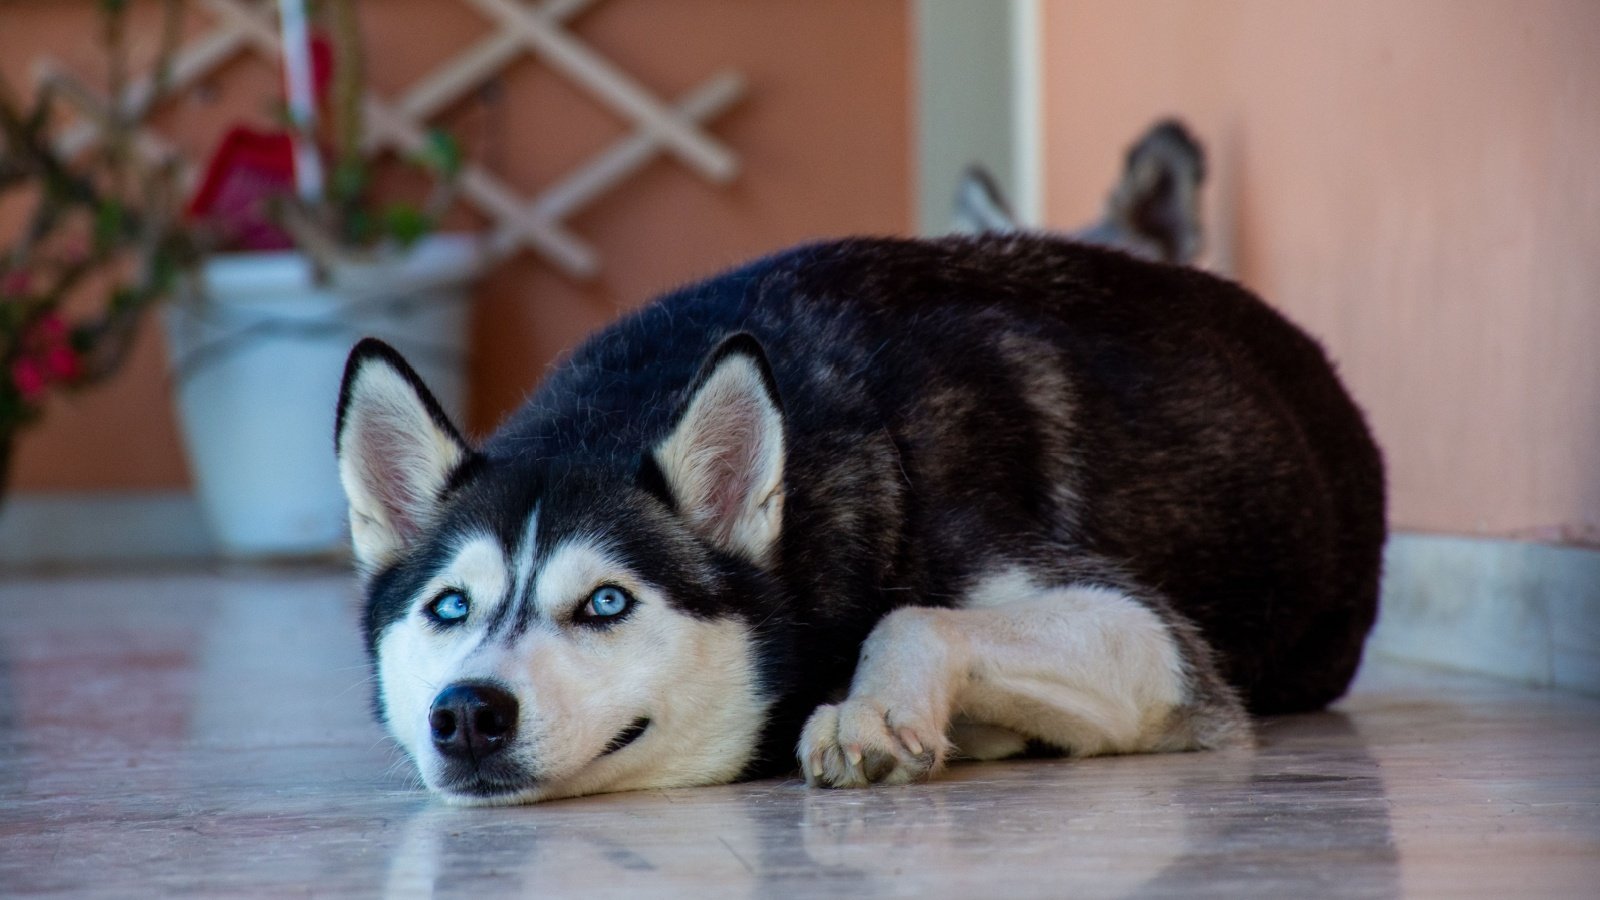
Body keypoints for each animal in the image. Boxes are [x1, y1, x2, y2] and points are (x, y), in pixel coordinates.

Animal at [340, 232, 1388, 807]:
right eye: (448, 608)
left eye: (605, 603)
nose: (466, 713)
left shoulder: (1158, 644)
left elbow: (915, 614)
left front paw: (871, 706)